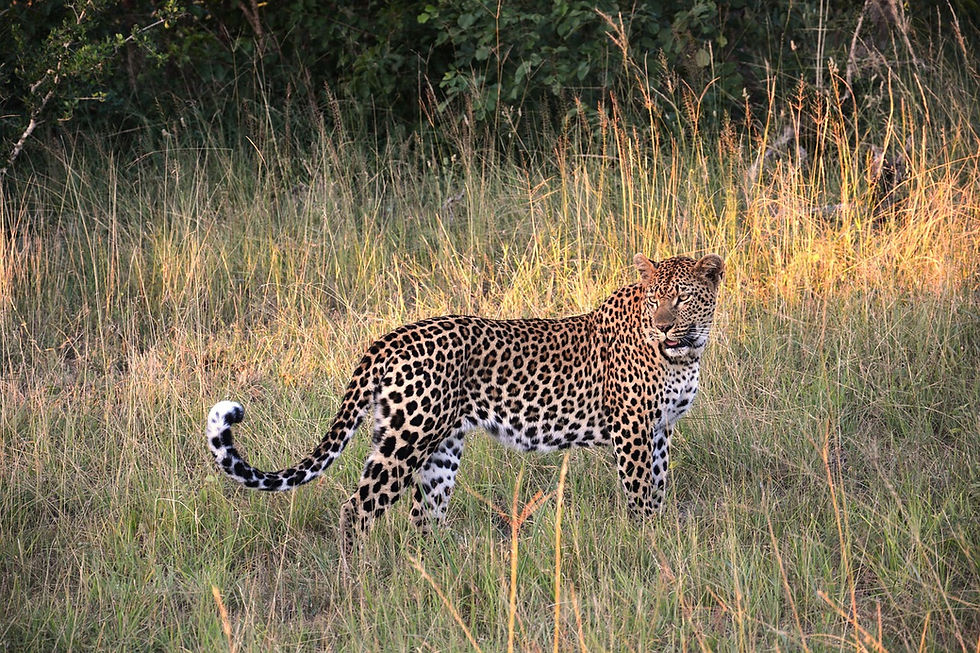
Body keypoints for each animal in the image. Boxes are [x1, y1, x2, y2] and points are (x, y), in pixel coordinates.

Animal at [205, 253, 724, 550]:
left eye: (680, 299)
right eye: (654, 299)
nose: (662, 326)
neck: (686, 352)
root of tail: (390, 337)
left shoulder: (660, 430)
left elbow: (658, 488)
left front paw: (659, 535)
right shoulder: (632, 430)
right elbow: (640, 495)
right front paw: (645, 545)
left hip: (440, 448)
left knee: (424, 516)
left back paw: (435, 575)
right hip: (406, 440)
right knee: (357, 509)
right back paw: (358, 584)